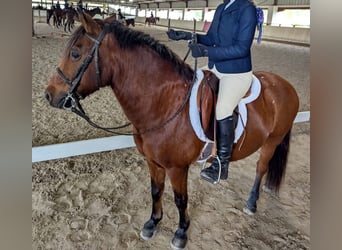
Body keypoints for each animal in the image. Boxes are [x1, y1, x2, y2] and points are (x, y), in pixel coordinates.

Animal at [44, 11, 300, 250]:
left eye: (75, 54)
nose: (49, 95)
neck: (164, 103)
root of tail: (284, 84)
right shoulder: (153, 161)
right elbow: (156, 191)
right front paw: (152, 223)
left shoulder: (177, 168)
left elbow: (180, 200)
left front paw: (181, 233)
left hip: (272, 142)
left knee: (260, 169)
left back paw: (251, 203)